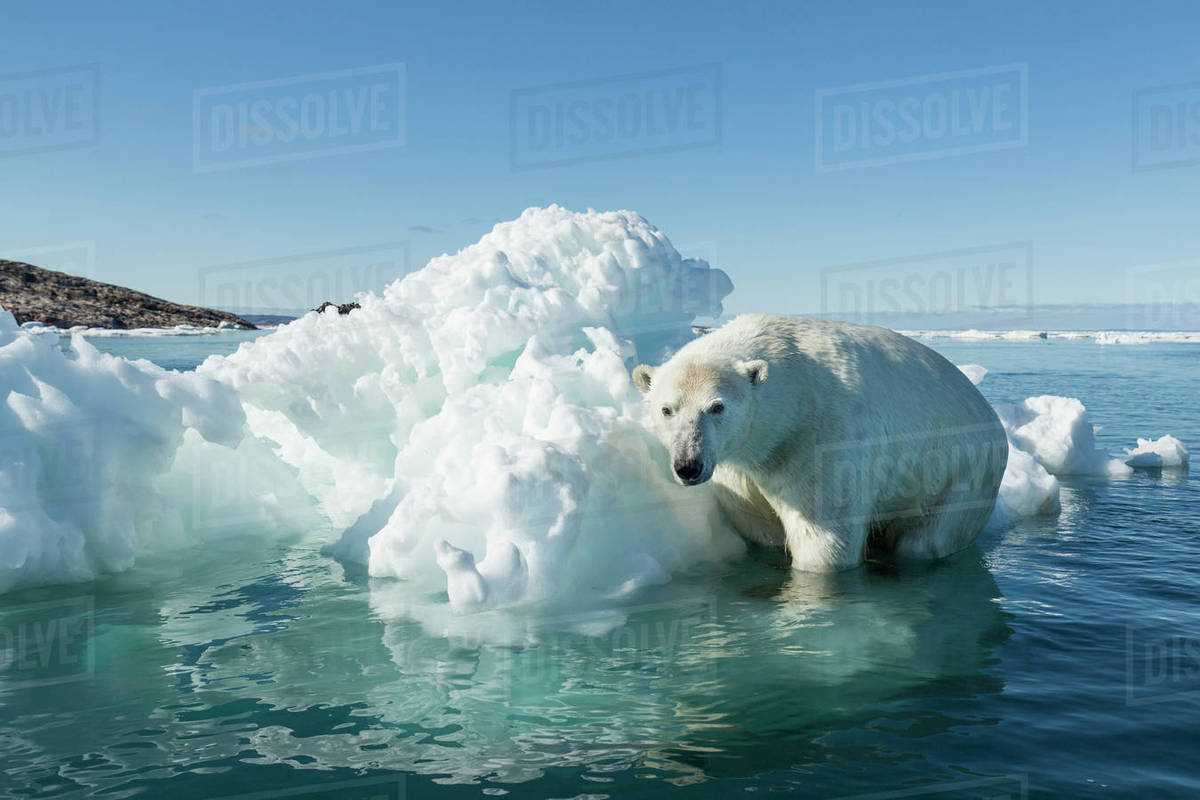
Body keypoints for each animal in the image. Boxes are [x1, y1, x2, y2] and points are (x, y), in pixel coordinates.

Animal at [632, 314, 1008, 572]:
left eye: (717, 406)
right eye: (667, 409)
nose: (688, 466)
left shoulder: (820, 439)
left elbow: (825, 539)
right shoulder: (737, 466)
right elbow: (757, 522)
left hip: (960, 471)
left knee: (926, 538)